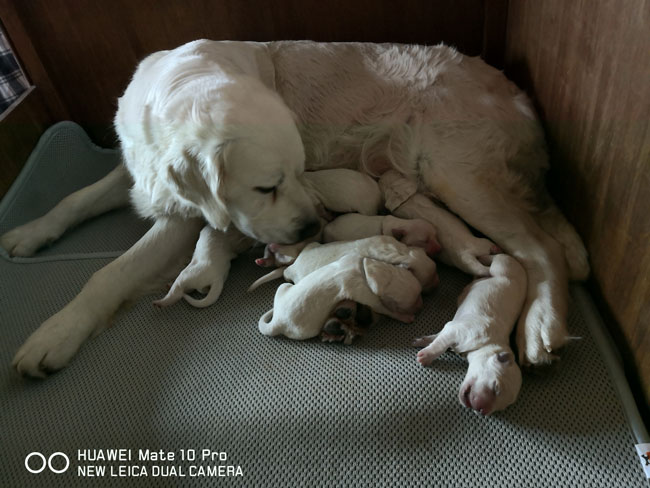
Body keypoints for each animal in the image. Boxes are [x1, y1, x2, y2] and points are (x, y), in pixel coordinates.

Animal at [1, 41, 588, 378]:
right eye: (267, 186)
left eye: (296, 172)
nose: (312, 228)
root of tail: (519, 97)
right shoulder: (140, 170)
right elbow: (76, 198)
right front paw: (28, 233)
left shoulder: (182, 218)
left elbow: (110, 273)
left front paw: (54, 335)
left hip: (458, 173)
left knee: (545, 250)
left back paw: (540, 326)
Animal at [416, 254, 528, 418]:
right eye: (496, 387)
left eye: (502, 408)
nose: (483, 411)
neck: (489, 343)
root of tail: (520, 266)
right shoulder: (456, 330)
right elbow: (439, 345)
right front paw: (426, 355)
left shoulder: (451, 328)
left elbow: (438, 337)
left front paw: (424, 341)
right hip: (503, 266)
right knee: (494, 261)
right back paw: (484, 257)